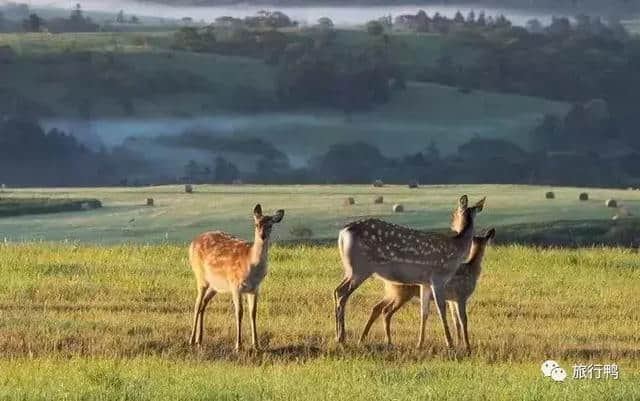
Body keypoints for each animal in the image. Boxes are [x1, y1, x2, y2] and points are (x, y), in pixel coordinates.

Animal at [186, 203, 284, 350]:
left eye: (270, 225)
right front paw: (238, 345)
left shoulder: (255, 288)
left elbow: (253, 313)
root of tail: (192, 243)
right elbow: (239, 312)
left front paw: (256, 345)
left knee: (204, 303)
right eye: (256, 224)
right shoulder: (235, 285)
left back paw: (200, 339)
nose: (262, 235)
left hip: (215, 285)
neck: (251, 264)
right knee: (197, 304)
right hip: (200, 276)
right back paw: (191, 340)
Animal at [336, 194, 484, 346]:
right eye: (453, 214)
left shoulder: (425, 282)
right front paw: (450, 343)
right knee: (342, 293)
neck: (457, 250)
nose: (453, 226)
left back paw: (339, 336)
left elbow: (424, 311)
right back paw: (342, 337)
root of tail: (343, 232)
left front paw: (421, 343)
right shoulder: (438, 277)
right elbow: (441, 309)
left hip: (351, 269)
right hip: (360, 267)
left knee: (337, 290)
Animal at [358, 228, 498, 350]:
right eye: (486, 239)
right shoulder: (461, 295)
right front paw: (467, 346)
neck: (472, 269)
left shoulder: (452, 299)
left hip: (393, 292)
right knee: (386, 311)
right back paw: (385, 340)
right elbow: (463, 320)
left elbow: (456, 320)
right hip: (402, 293)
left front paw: (459, 343)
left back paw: (367, 339)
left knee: (377, 307)